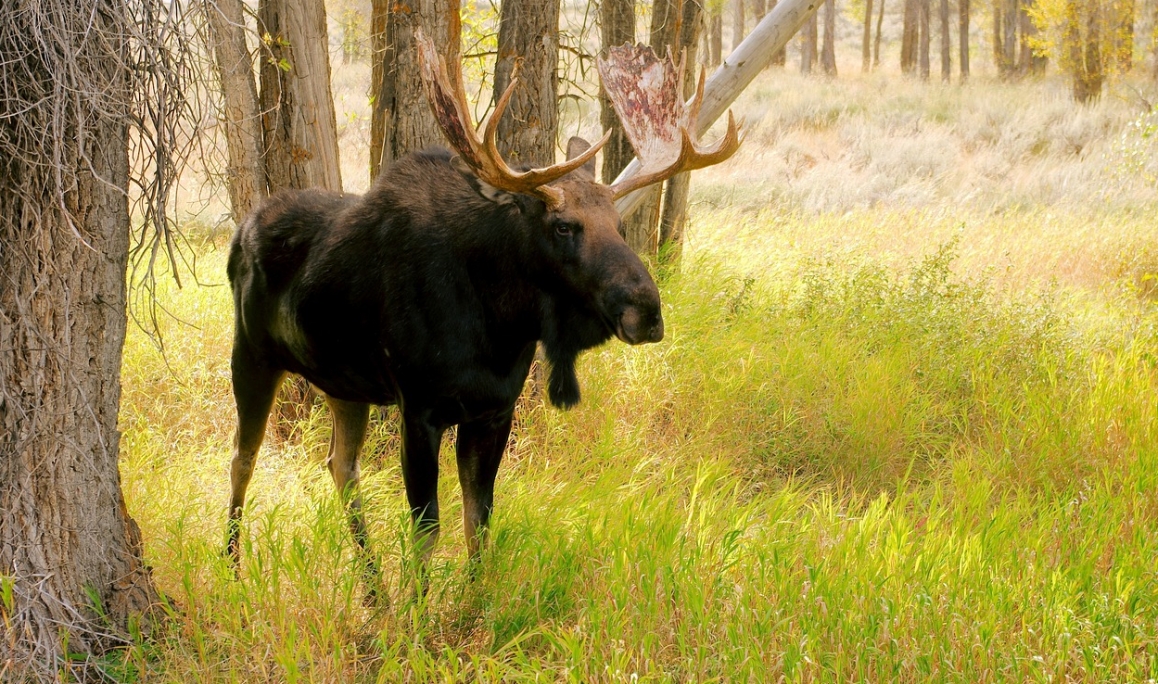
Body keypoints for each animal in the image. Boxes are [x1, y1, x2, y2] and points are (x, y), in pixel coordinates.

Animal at [223, 34, 741, 597]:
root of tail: (239, 232)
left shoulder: (494, 410)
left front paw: (474, 599)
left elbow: (480, 520)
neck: (499, 326)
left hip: (344, 383)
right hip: (251, 356)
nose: (646, 311)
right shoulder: (419, 407)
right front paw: (419, 609)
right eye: (563, 225)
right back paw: (232, 568)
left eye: (619, 223)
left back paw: (374, 588)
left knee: (341, 466)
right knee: (242, 461)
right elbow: (427, 526)